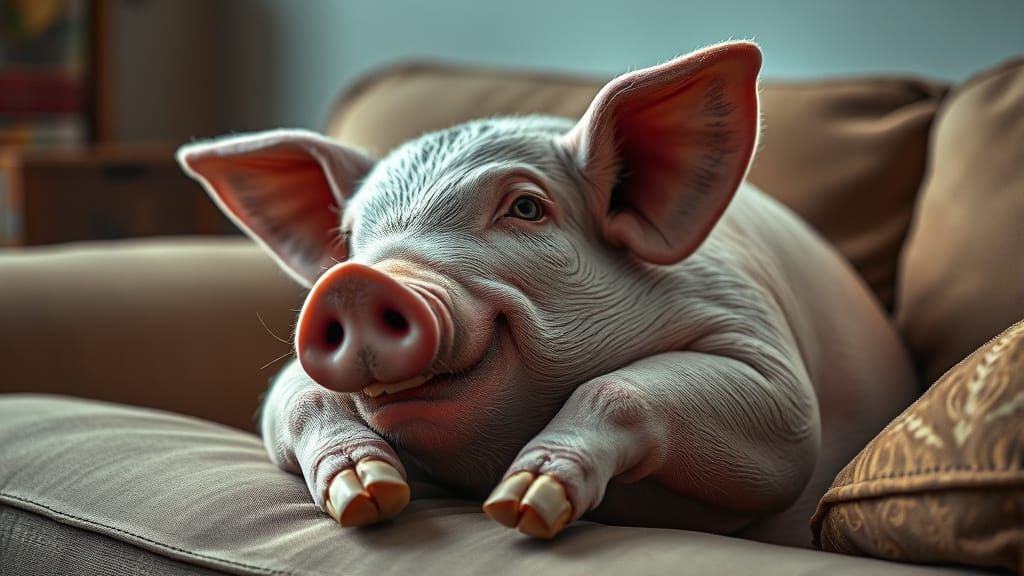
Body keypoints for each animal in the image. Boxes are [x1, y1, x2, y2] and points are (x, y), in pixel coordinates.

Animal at [177, 41, 918, 546]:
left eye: (527, 208)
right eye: (352, 236)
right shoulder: (287, 381)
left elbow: (643, 394)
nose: (355, 282)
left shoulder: (762, 357)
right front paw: (368, 496)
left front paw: (525, 507)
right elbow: (296, 398)